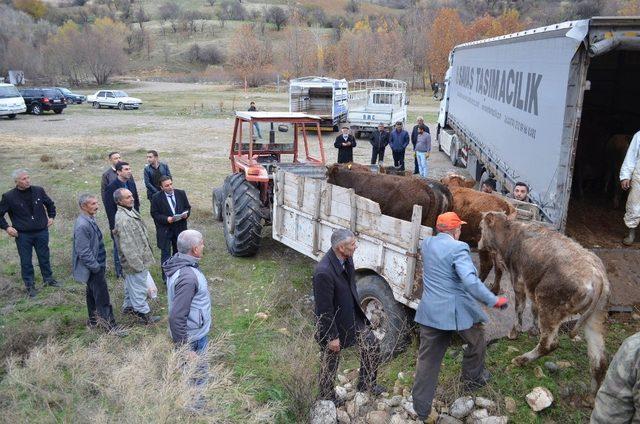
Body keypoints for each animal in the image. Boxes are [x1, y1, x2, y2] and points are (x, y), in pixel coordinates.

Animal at [480, 212, 608, 394]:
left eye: (481, 227)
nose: (479, 244)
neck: (510, 235)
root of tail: (597, 276)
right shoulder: (531, 285)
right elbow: (533, 309)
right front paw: (533, 329)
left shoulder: (518, 280)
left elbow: (520, 307)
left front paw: (515, 332)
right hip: (595, 317)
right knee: (599, 359)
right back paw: (593, 394)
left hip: (550, 305)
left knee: (549, 344)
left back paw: (521, 360)